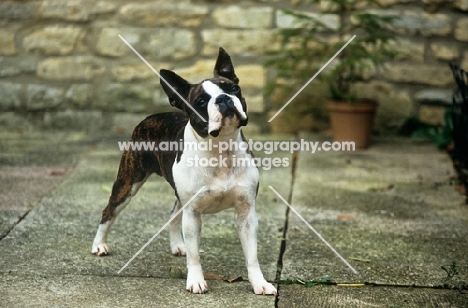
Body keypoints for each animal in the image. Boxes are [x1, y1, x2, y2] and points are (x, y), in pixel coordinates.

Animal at [91, 47, 278, 294]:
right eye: (201, 101)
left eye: (233, 89)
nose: (224, 99)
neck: (220, 149)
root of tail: (152, 116)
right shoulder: (193, 214)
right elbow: (195, 255)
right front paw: (196, 280)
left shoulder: (246, 213)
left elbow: (252, 255)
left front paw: (260, 283)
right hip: (128, 183)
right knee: (109, 211)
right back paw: (99, 245)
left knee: (173, 213)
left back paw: (177, 245)